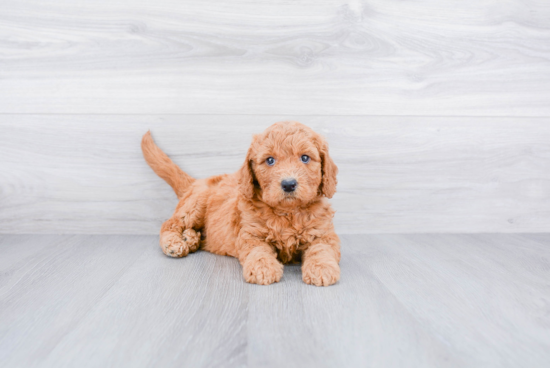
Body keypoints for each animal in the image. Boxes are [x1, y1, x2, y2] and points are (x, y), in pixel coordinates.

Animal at [142, 122, 340, 286]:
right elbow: (258, 251)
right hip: (195, 206)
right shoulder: (250, 234)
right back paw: (175, 243)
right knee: (171, 223)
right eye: (270, 160)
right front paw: (263, 268)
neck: (288, 213)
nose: (289, 184)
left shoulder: (323, 233)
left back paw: (190, 239)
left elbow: (322, 249)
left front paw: (321, 268)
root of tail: (195, 182)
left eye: (305, 158)